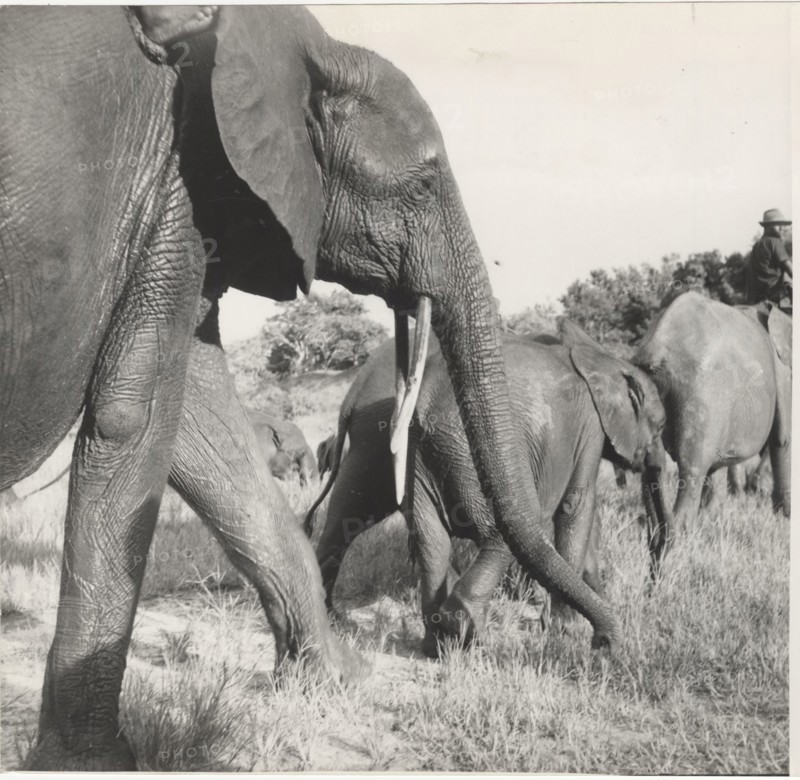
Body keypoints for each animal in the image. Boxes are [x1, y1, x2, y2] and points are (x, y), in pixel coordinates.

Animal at [1, 6, 619, 769]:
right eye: (422, 185)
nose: (608, 646)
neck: (297, 41)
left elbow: (201, 430)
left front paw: (342, 677)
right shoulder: (177, 183)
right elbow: (131, 420)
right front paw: (95, 762)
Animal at [305, 321, 665, 656]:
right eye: (661, 425)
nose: (605, 645)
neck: (599, 357)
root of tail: (352, 395)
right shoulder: (590, 428)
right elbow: (577, 506)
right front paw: (565, 629)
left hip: (405, 451)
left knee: (392, 528)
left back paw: (427, 643)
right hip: (465, 450)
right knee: (498, 530)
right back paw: (463, 632)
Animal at [635, 292, 791, 574]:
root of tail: (656, 347)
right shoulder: (782, 373)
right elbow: (782, 439)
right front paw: (784, 519)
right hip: (703, 396)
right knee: (692, 472)